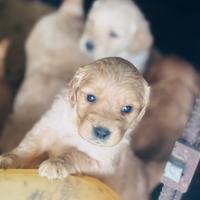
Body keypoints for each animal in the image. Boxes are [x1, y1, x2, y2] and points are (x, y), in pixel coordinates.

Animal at [0, 57, 151, 200]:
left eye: (127, 109)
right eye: (91, 97)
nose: (101, 132)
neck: (75, 127)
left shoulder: (104, 164)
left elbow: (78, 154)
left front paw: (56, 163)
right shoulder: (47, 126)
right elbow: (28, 146)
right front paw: (8, 159)